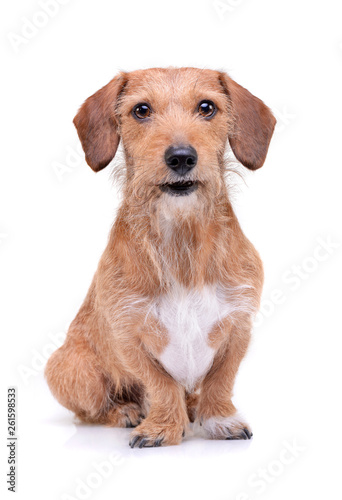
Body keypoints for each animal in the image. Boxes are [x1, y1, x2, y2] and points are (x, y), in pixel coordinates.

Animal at [44, 67, 276, 450]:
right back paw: (125, 410)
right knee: (91, 409)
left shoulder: (238, 326)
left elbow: (220, 380)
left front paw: (219, 418)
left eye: (207, 107)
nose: (181, 157)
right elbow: (160, 384)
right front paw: (162, 426)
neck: (182, 238)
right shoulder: (129, 335)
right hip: (74, 371)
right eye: (141, 110)